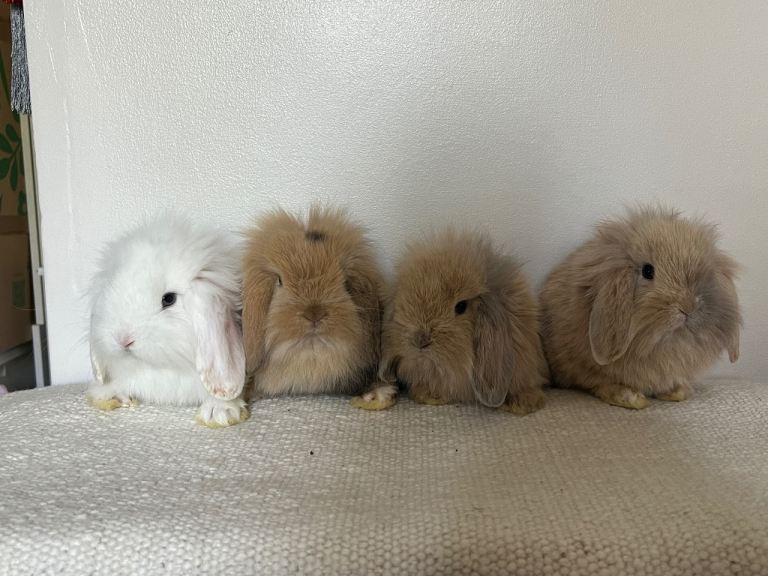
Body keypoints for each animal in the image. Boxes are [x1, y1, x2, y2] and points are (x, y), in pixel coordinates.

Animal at [539, 206, 741, 410]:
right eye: (647, 271)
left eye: (707, 274)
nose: (688, 307)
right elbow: (600, 383)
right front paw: (630, 398)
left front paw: (678, 392)